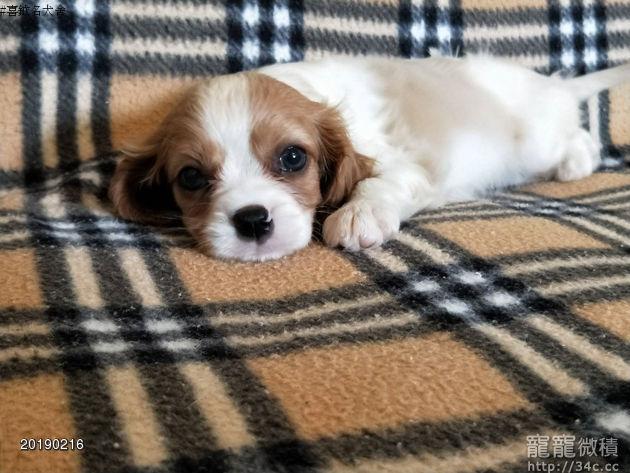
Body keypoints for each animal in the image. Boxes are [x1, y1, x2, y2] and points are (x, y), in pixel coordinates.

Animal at [109, 56, 630, 261]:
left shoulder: (407, 165)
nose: (253, 220)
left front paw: (359, 215)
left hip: (535, 140)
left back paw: (574, 164)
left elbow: (379, 181)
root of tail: (550, 84)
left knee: (579, 136)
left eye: (293, 157)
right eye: (191, 177)